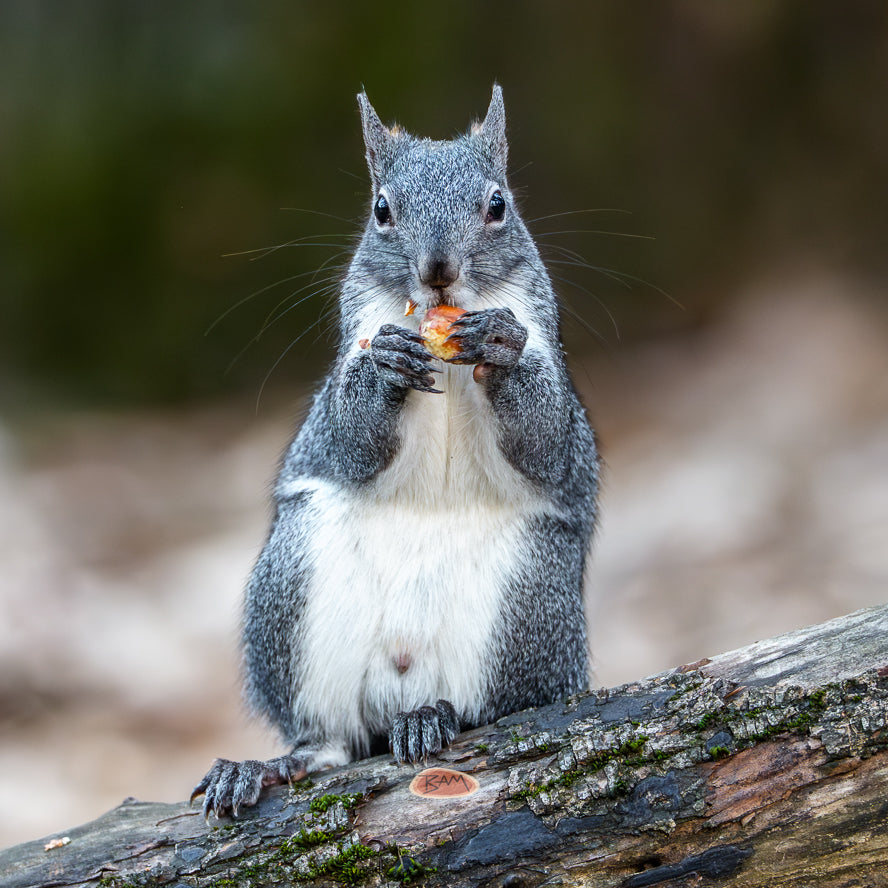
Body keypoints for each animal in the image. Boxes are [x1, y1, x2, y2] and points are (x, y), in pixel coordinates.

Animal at [192, 85, 599, 818]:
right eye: (382, 209)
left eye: (499, 204)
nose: (438, 271)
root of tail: (398, 697)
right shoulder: (343, 388)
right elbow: (350, 433)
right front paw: (384, 367)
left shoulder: (556, 397)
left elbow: (547, 438)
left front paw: (501, 345)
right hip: (296, 592)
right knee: (326, 741)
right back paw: (264, 768)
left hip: (528, 608)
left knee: (495, 708)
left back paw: (437, 716)